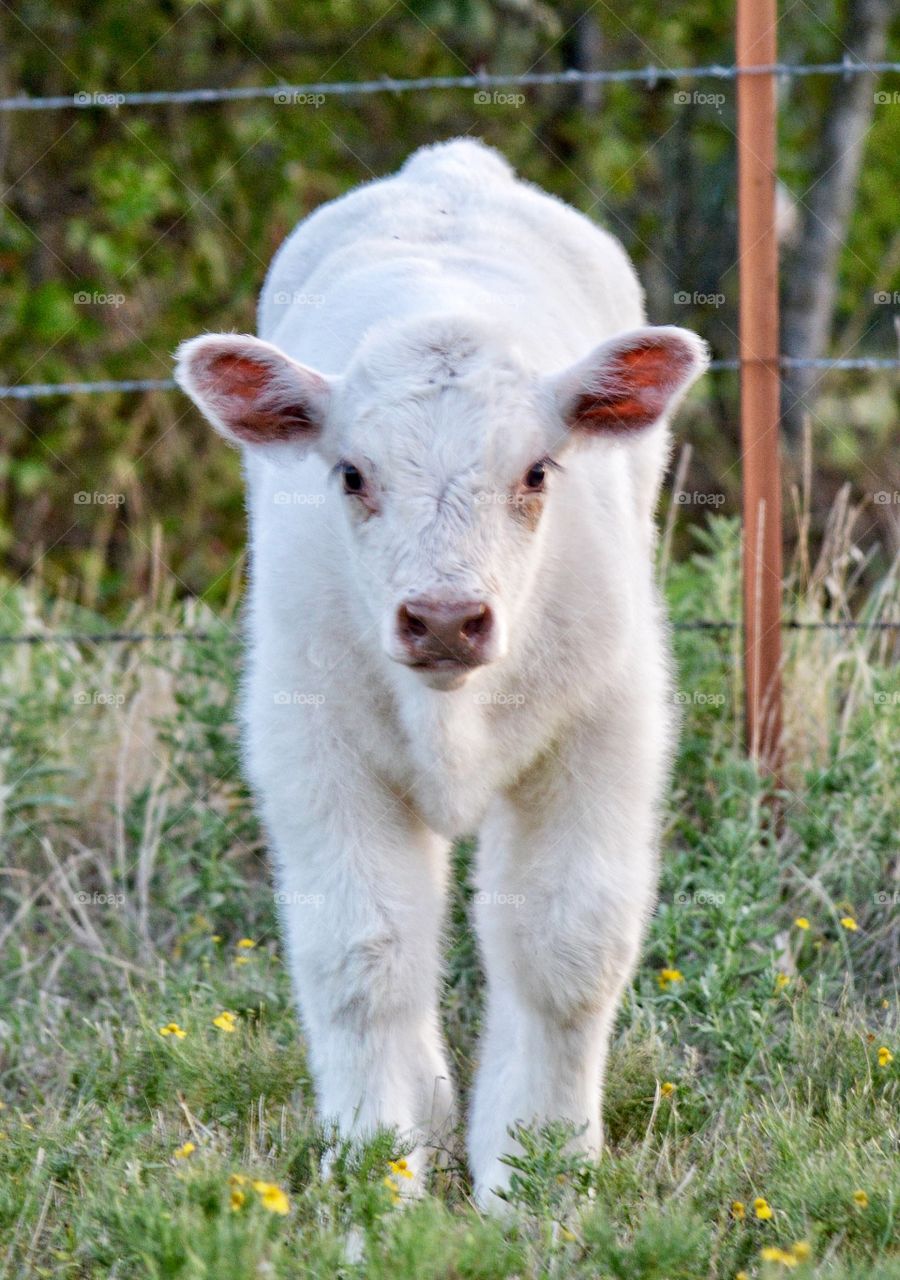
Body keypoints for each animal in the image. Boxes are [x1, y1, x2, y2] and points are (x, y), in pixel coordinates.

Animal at [175, 138, 707, 1209]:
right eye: (350, 474)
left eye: (539, 472)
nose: (447, 619)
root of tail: (453, 167)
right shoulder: (309, 745)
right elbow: (363, 954)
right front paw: (380, 1168)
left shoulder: (605, 731)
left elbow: (565, 947)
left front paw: (538, 1175)